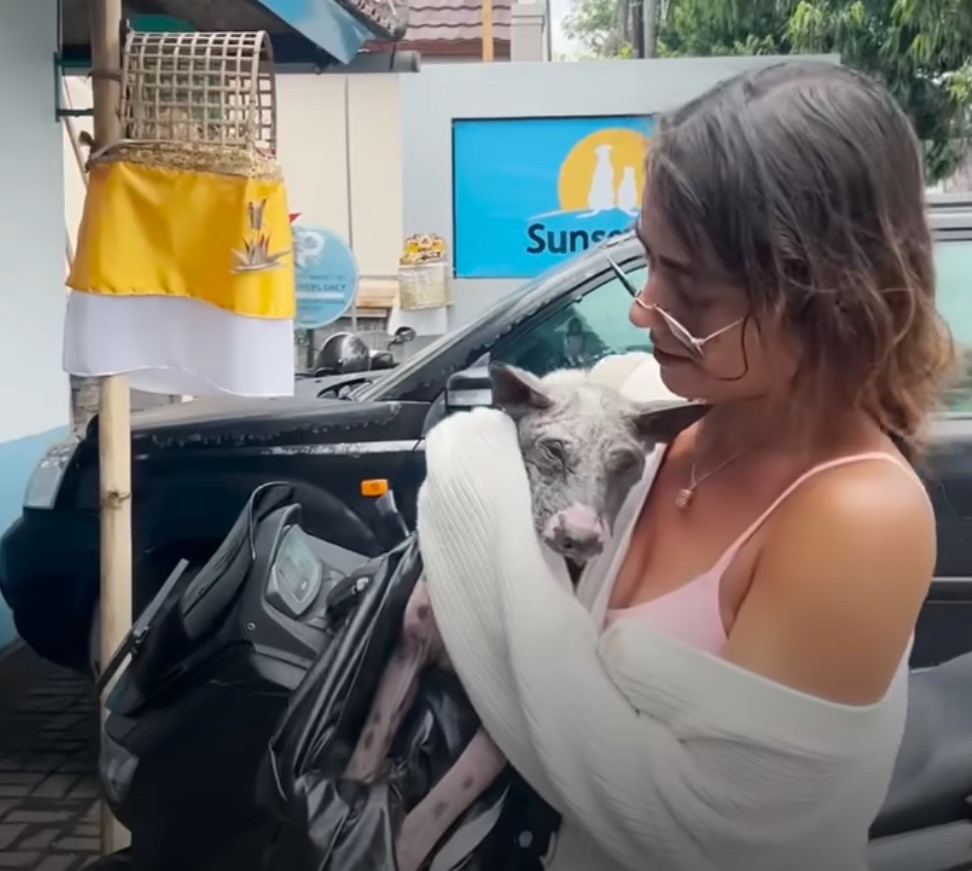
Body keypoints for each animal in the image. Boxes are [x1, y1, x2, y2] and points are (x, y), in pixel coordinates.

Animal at [342, 362, 708, 871]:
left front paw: (383, 843)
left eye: (626, 464)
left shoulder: (507, 725)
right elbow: (366, 751)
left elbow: (429, 816)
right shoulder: (408, 648)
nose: (581, 535)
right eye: (553, 449)